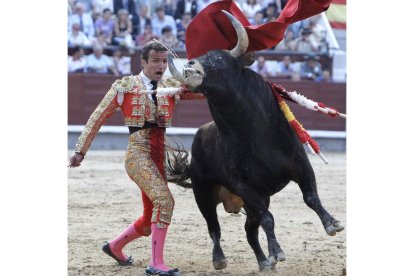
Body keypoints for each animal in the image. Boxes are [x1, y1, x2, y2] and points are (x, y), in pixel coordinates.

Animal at [167, 11, 344, 272]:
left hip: (253, 200)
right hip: (203, 193)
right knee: (214, 228)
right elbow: (268, 219)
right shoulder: (245, 187)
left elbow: (310, 197)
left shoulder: (300, 166)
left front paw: (332, 224)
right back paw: (220, 259)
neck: (253, 131)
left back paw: (263, 262)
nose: (190, 68)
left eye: (217, 58)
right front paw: (277, 251)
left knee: (250, 231)